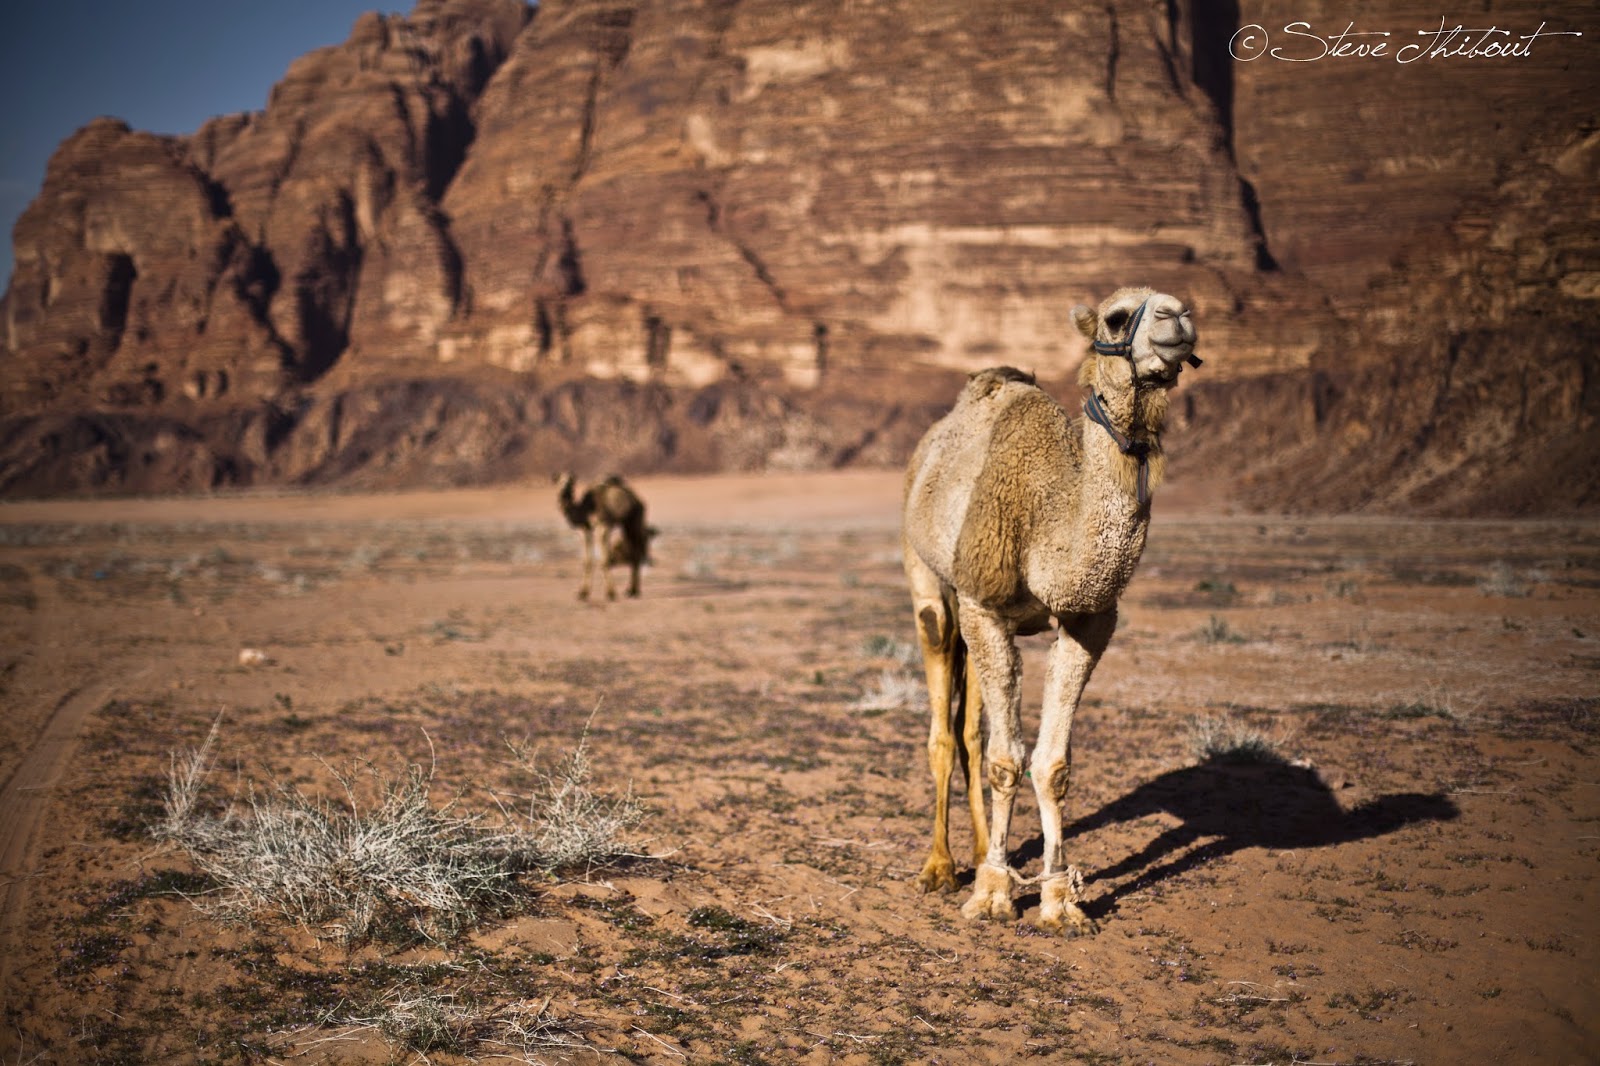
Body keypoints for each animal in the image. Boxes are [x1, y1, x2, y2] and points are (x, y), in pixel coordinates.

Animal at [556, 470, 656, 598]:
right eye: (559, 481)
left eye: (571, 482)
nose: (564, 491)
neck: (586, 509)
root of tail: (637, 499)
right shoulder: (586, 530)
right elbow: (587, 561)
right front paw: (583, 593)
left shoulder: (604, 526)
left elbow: (605, 560)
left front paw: (611, 593)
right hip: (625, 524)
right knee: (634, 552)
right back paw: (631, 590)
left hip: (635, 519)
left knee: (637, 551)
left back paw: (634, 591)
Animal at [902, 284, 1203, 928]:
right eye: (1118, 316)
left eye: (1186, 310)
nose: (1177, 316)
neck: (1051, 516)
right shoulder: (984, 602)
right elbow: (1004, 760)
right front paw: (992, 894)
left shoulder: (1090, 621)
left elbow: (1052, 764)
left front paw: (1059, 899)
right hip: (929, 580)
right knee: (945, 727)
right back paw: (941, 868)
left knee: (971, 729)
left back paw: (978, 848)